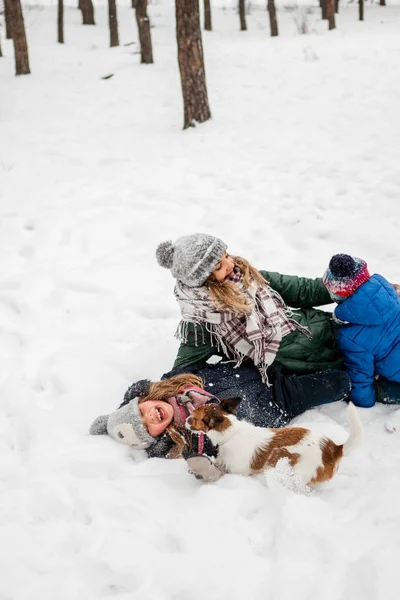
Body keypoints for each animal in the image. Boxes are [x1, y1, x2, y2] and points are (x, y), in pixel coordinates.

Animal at [186, 398, 364, 488]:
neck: (231, 432)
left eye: (194, 418)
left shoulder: (239, 471)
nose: (186, 419)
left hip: (290, 465)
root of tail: (333, 448)